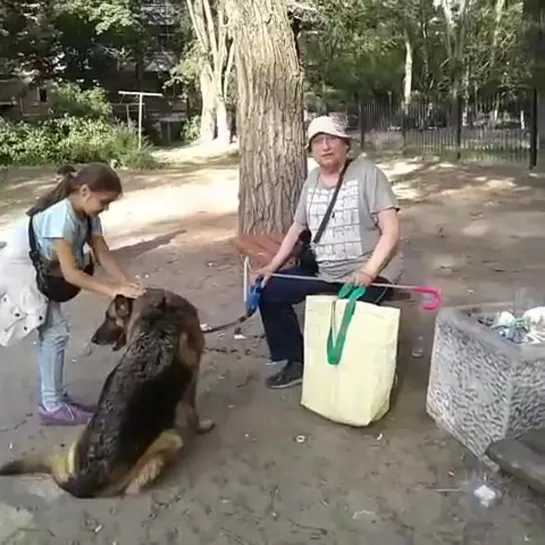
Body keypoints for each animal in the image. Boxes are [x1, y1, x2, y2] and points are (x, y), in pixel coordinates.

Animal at [0, 288, 215, 498]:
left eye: (109, 317)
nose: (94, 339)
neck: (158, 316)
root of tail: (88, 476)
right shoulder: (192, 381)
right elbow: (193, 414)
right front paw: (202, 427)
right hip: (171, 440)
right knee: (133, 487)